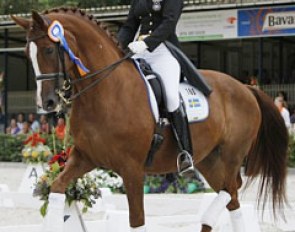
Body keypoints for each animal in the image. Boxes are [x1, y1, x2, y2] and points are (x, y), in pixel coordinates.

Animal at [12, 8, 290, 232]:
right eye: (27, 53)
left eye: (49, 49)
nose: (46, 104)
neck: (105, 93)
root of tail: (246, 88)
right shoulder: (84, 157)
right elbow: (57, 190)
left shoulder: (132, 169)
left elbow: (137, 221)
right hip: (208, 160)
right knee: (232, 196)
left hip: (231, 155)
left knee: (231, 188)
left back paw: (208, 218)